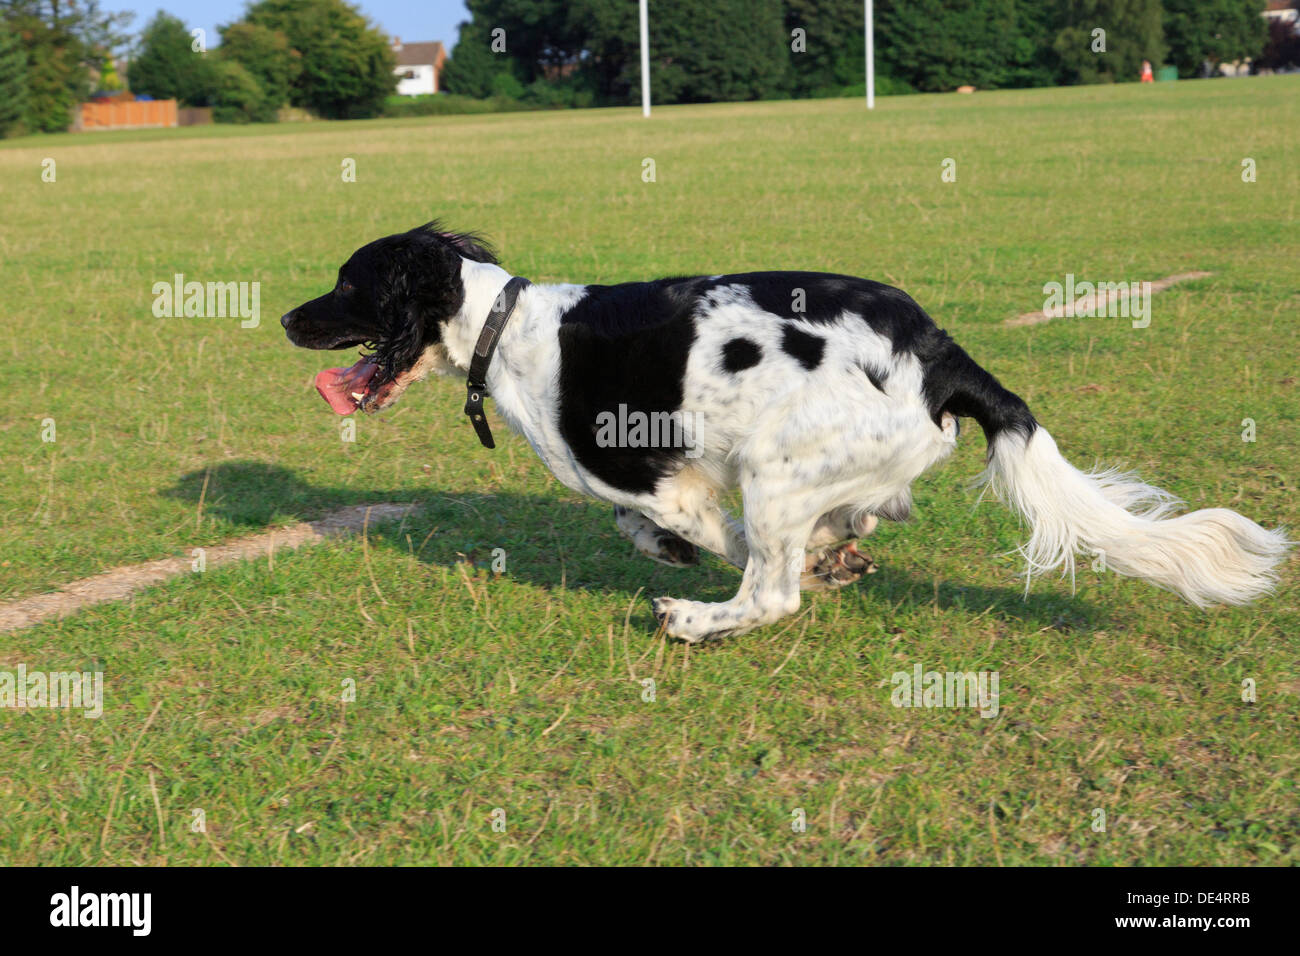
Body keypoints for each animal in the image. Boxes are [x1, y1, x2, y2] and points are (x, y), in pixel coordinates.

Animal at [279, 223, 1284, 642]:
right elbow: (642, 526)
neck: (503, 324)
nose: (286, 317)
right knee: (849, 523)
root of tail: (942, 354)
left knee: (771, 595)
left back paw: (694, 621)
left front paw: (704, 564)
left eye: (348, 283)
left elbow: (699, 529)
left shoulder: (652, 471)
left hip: (777, 463)